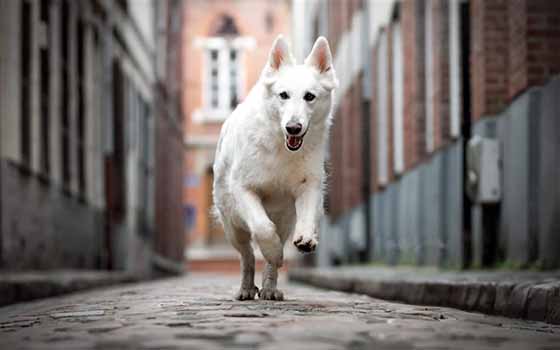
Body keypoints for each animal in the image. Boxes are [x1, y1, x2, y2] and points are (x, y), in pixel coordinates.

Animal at [213, 35, 336, 300]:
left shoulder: (308, 185)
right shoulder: (244, 190)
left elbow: (306, 215)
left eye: (309, 96)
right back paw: (247, 288)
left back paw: (269, 288)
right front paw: (274, 252)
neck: (281, 145)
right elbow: (262, 228)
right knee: (247, 255)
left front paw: (306, 238)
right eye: (283, 95)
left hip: (285, 219)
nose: (293, 128)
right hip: (232, 225)